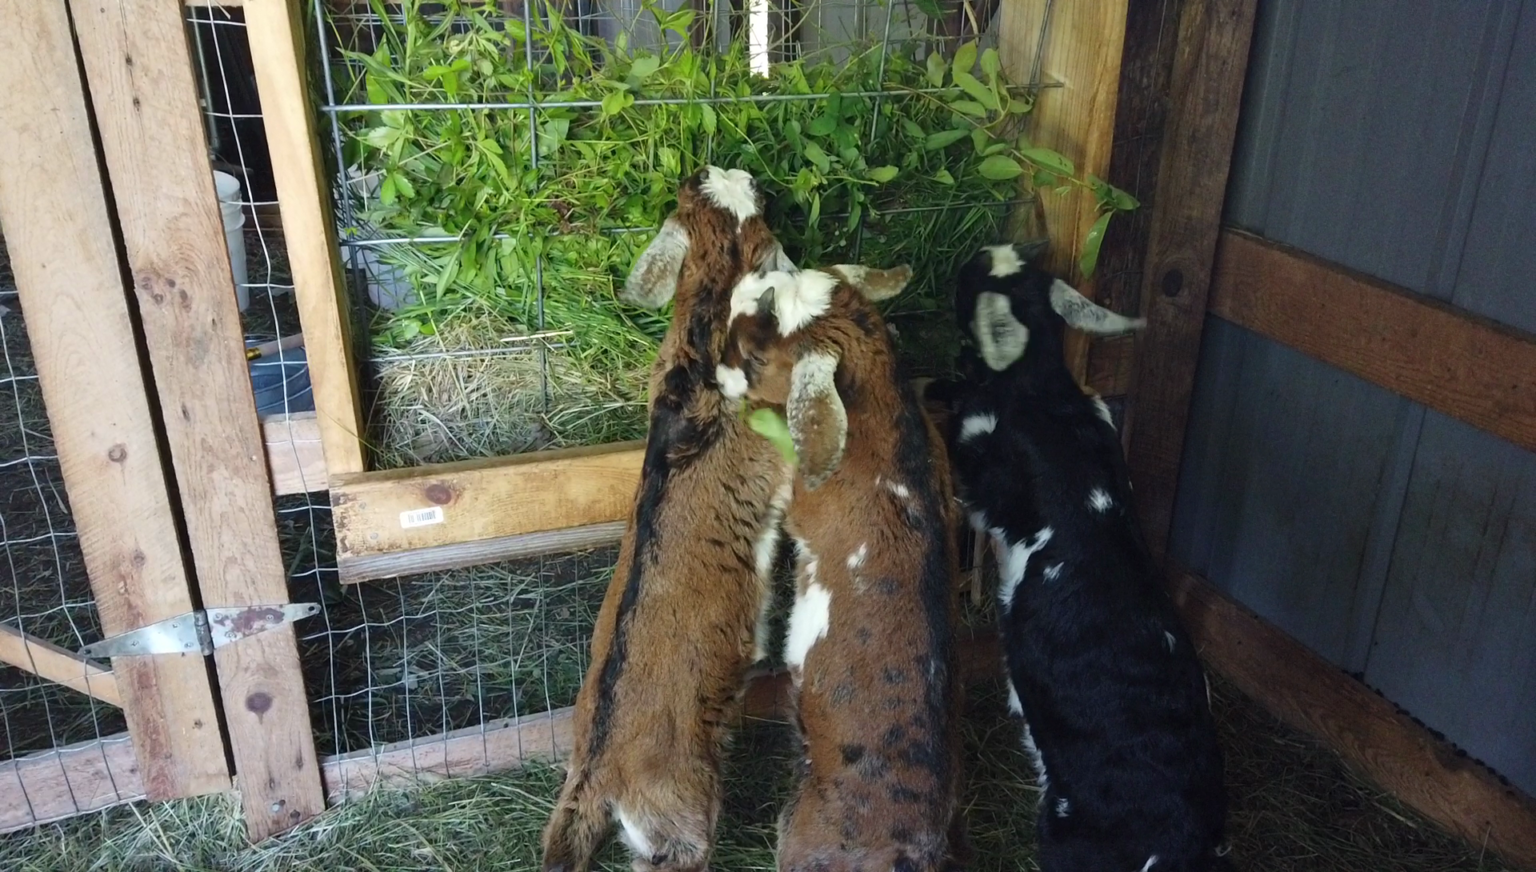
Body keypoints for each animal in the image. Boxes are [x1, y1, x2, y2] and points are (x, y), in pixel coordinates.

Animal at [934, 242, 1232, 872]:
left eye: (973, 279)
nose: (978, 251)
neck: (1047, 396)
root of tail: (1180, 836)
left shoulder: (986, 476)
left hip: (1069, 833)